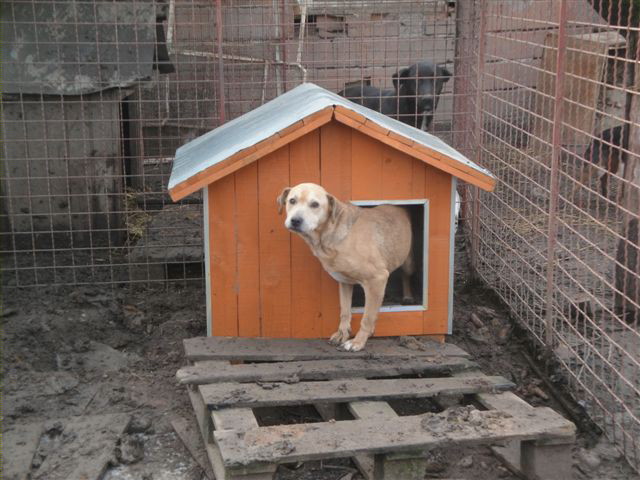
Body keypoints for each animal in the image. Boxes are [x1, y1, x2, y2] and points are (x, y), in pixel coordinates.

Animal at [278, 183, 414, 352]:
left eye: (315, 204)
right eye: (292, 201)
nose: (295, 220)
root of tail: (400, 207)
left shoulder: (378, 279)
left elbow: (367, 317)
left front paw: (358, 341)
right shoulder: (344, 282)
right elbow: (345, 311)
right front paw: (343, 333)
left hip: (408, 262)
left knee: (406, 275)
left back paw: (408, 296)